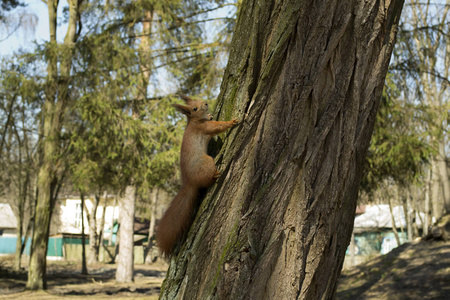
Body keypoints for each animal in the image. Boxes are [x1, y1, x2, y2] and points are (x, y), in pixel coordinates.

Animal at [156, 95, 239, 256]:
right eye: (194, 108)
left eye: (198, 99)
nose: (206, 104)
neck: (194, 121)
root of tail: (189, 182)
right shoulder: (204, 128)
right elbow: (218, 127)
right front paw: (232, 122)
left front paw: (210, 115)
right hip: (206, 162)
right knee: (206, 181)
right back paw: (215, 176)